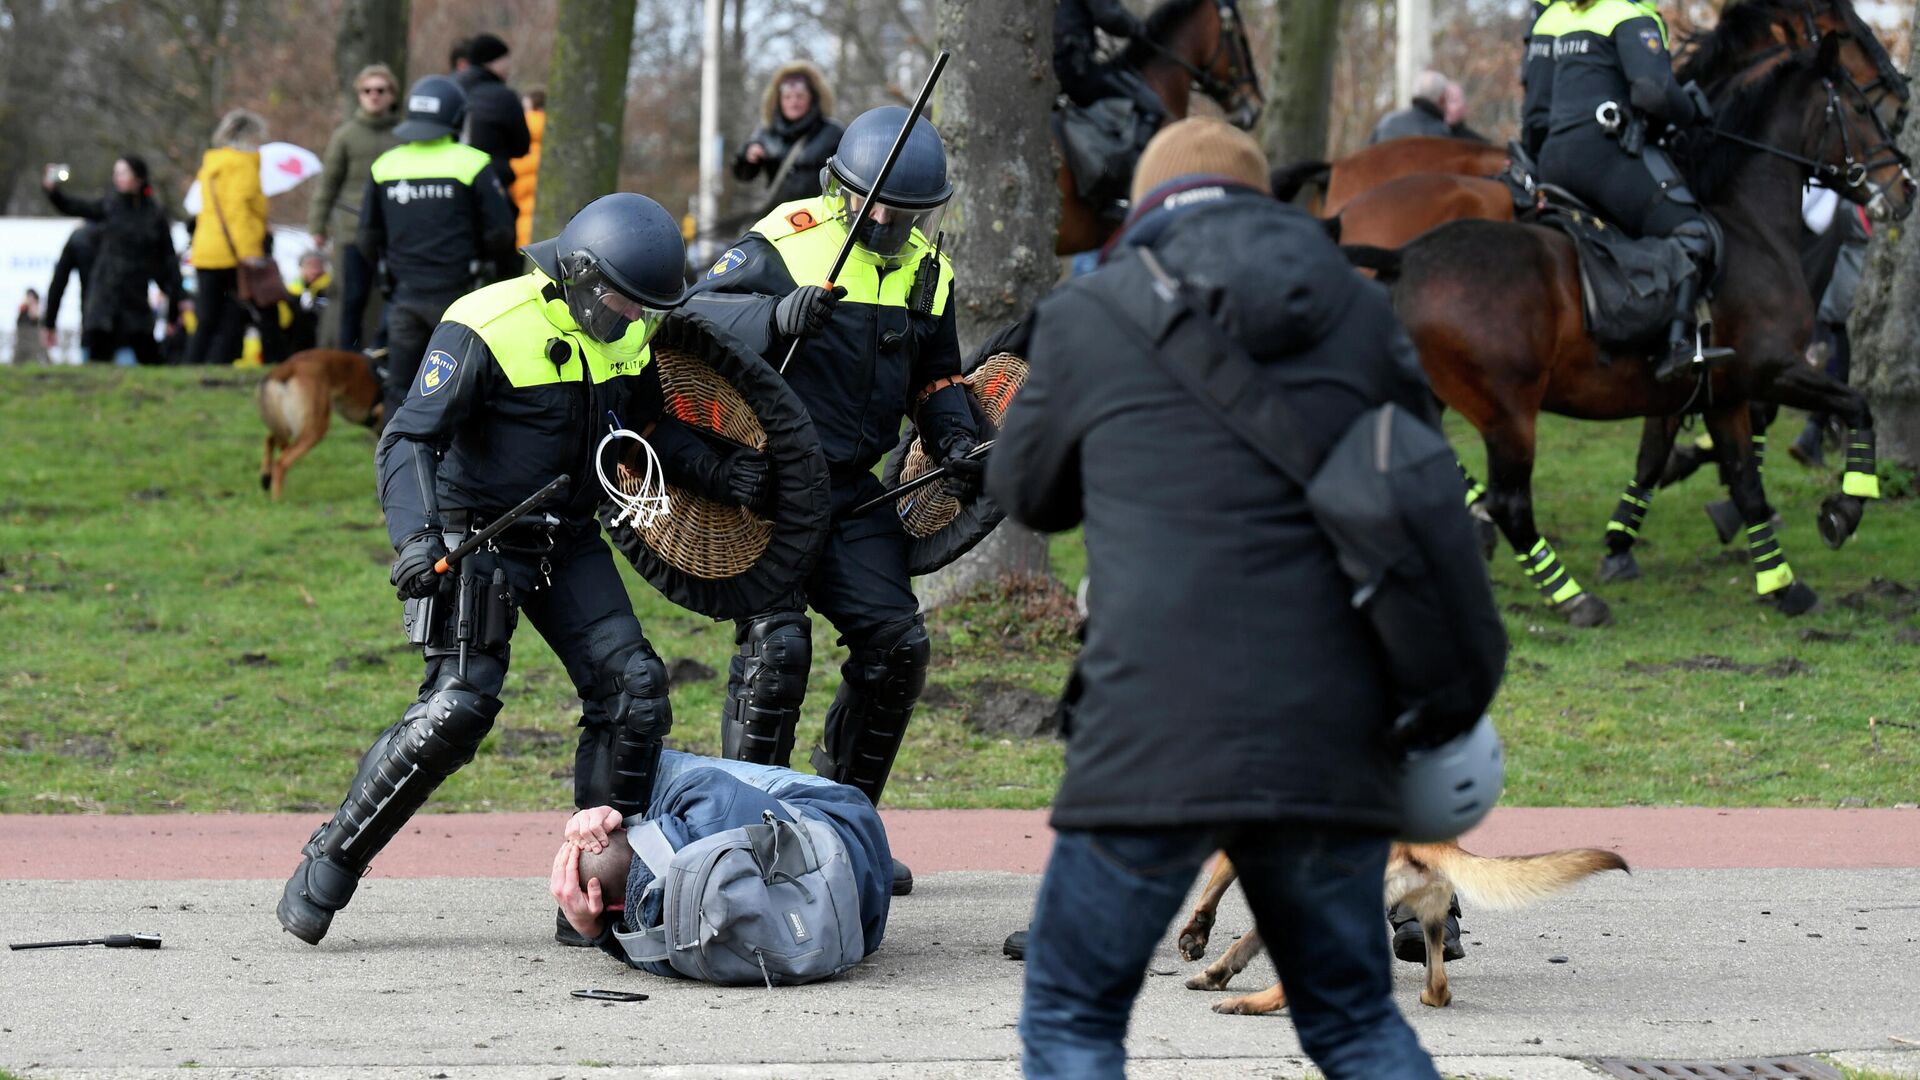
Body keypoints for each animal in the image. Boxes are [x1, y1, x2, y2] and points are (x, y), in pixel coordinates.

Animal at [259, 345, 385, 499]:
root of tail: (289, 365)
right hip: (314, 428)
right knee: (280, 463)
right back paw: (278, 499)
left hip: (288, 424)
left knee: (270, 439)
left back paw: (266, 479)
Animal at [1351, 0, 1904, 622]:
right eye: (1860, 104)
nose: (1905, 183)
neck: (1747, 225)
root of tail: (1404, 255)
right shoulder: (1770, 370)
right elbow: (1855, 406)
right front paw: (1845, 508)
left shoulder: (1721, 393)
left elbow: (1740, 481)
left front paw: (1782, 584)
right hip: (1507, 413)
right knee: (1510, 502)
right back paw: (1570, 597)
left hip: (1428, 399)